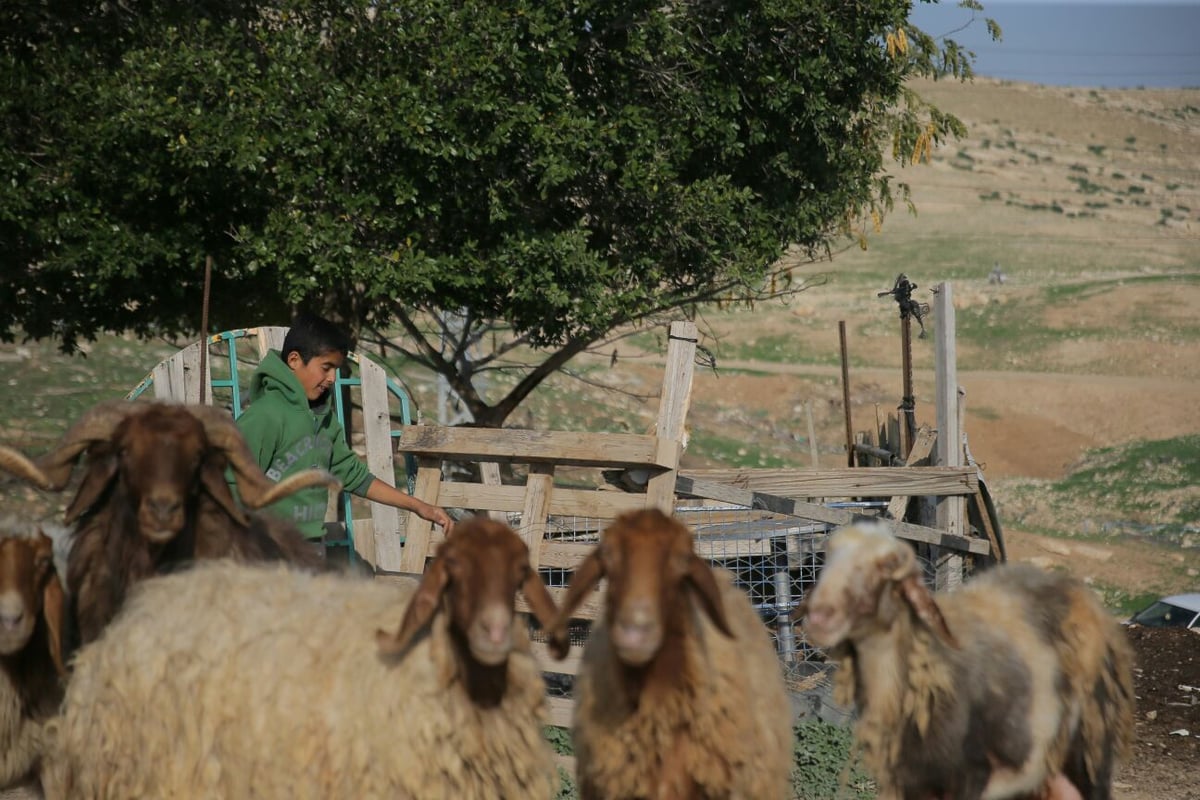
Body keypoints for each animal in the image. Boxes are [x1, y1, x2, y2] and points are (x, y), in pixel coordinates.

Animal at [796, 520, 1132, 800]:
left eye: (888, 564)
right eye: (828, 555)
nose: (820, 616)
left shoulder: (972, 775)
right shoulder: (910, 781)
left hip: (1090, 748)